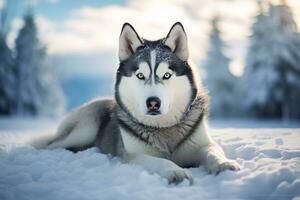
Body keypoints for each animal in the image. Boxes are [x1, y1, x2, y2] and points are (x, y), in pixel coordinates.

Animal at [31, 22, 240, 184]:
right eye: (140, 75)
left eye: (167, 75)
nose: (153, 103)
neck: (164, 129)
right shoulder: (133, 155)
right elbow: (159, 161)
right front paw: (175, 170)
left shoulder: (204, 144)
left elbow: (213, 152)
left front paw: (225, 164)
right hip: (85, 128)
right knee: (51, 144)